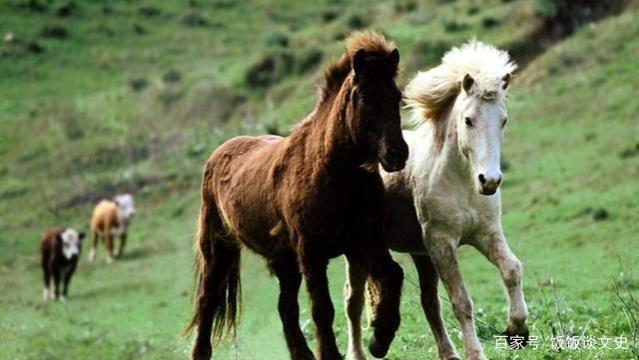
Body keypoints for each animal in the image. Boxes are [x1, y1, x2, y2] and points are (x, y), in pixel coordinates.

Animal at [182, 31, 408, 360]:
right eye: (365, 97)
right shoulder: (312, 252)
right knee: (207, 300)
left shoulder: (365, 242)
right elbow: (322, 309)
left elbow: (392, 275)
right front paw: (333, 353)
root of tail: (220, 151)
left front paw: (380, 337)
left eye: (396, 97)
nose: (397, 154)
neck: (332, 173)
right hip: (219, 250)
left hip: (284, 260)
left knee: (285, 307)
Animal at [344, 40, 528, 360]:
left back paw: (448, 354)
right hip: (361, 251)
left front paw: (517, 328)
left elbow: (512, 269)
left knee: (429, 303)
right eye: (468, 120)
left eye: (503, 120)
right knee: (352, 300)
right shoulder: (443, 243)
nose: (490, 181)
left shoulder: (486, 234)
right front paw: (476, 354)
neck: (463, 183)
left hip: (421, 255)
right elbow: (460, 300)